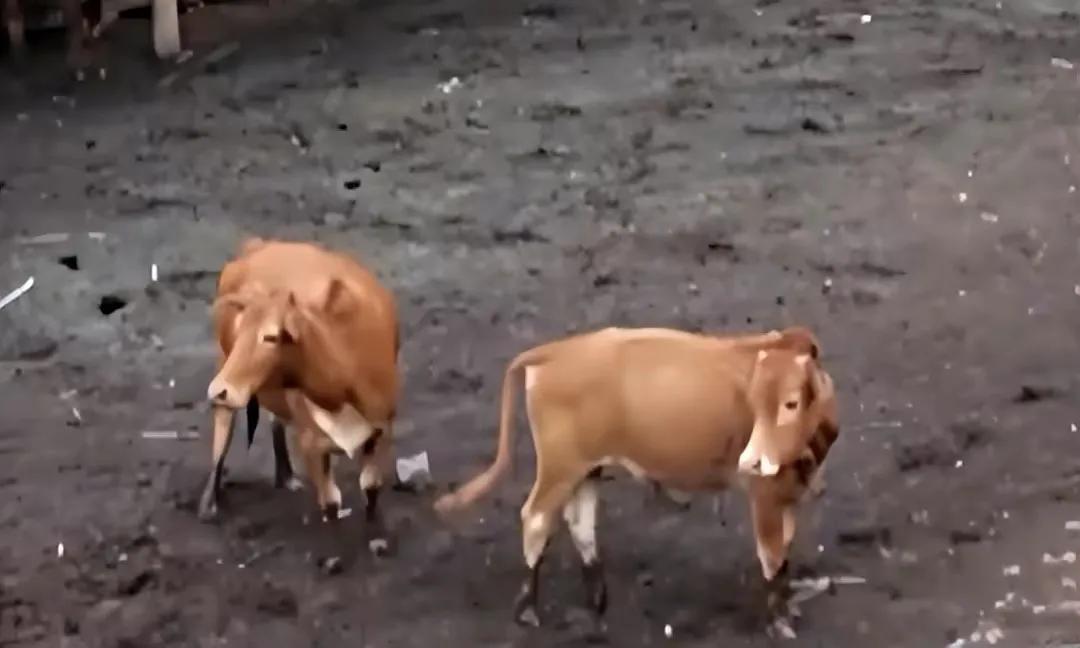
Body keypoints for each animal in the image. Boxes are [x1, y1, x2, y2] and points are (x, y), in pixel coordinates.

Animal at [200, 238, 400, 552]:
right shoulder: (312, 443)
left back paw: (285, 476)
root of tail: (258, 245)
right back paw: (210, 502)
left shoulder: (381, 429)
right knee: (224, 424)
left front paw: (376, 538)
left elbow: (371, 486)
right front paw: (335, 553)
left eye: (271, 336)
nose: (218, 389)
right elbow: (330, 503)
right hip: (223, 362)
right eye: (240, 329)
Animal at [434, 325, 838, 632]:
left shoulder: (788, 493)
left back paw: (597, 598)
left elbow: (784, 551)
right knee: (536, 519)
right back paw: (528, 608)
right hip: (559, 466)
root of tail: (555, 352)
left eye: (790, 403)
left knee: (579, 521)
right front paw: (779, 620)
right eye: (753, 402)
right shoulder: (765, 495)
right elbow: (772, 555)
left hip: (585, 467)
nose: (751, 461)